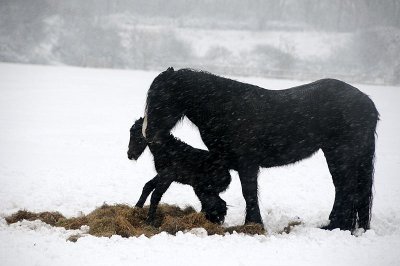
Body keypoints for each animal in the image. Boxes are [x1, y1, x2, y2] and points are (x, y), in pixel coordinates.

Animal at [142, 67, 380, 232]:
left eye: (162, 97)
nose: (149, 133)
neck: (224, 107)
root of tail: (367, 103)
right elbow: (208, 192)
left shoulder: (247, 164)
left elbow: (248, 193)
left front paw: (253, 224)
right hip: (336, 153)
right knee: (343, 188)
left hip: (342, 153)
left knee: (347, 188)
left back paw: (337, 226)